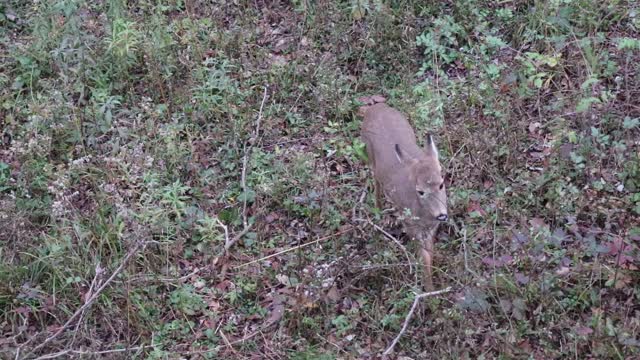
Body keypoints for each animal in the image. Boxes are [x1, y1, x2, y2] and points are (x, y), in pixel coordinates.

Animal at [362, 100, 448, 290]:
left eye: (441, 183)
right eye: (420, 191)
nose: (442, 215)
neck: (424, 215)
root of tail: (373, 108)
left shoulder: (432, 228)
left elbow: (430, 254)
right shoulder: (411, 227)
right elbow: (424, 259)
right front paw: (430, 291)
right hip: (369, 154)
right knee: (376, 181)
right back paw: (379, 212)